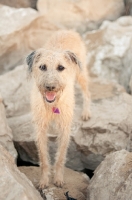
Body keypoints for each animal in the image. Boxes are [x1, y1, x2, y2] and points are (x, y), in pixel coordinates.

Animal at [26, 30, 91, 189]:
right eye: (42, 67)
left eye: (61, 67)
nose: (50, 87)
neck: (52, 105)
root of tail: (69, 31)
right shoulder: (40, 130)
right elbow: (43, 158)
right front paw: (44, 181)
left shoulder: (65, 129)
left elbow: (60, 157)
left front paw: (58, 179)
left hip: (81, 75)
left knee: (87, 93)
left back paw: (86, 113)